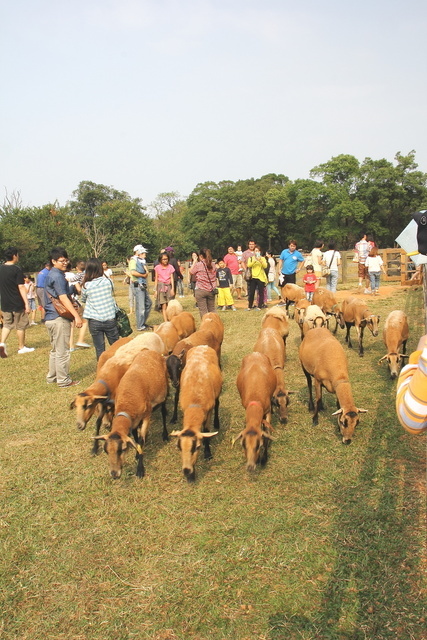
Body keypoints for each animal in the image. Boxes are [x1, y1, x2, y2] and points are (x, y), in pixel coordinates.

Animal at [95, 350, 169, 480]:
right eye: (106, 451)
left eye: (123, 449)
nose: (114, 474)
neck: (127, 403)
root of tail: (152, 351)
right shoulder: (133, 421)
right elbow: (135, 438)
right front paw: (136, 455)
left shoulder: (146, 417)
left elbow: (140, 441)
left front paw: (140, 470)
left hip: (163, 395)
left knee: (164, 413)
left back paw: (165, 435)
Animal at [171, 348, 224, 482]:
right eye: (179, 447)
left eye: (197, 447)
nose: (187, 471)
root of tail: (203, 346)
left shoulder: (208, 411)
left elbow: (206, 430)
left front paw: (208, 453)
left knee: (217, 404)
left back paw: (217, 423)